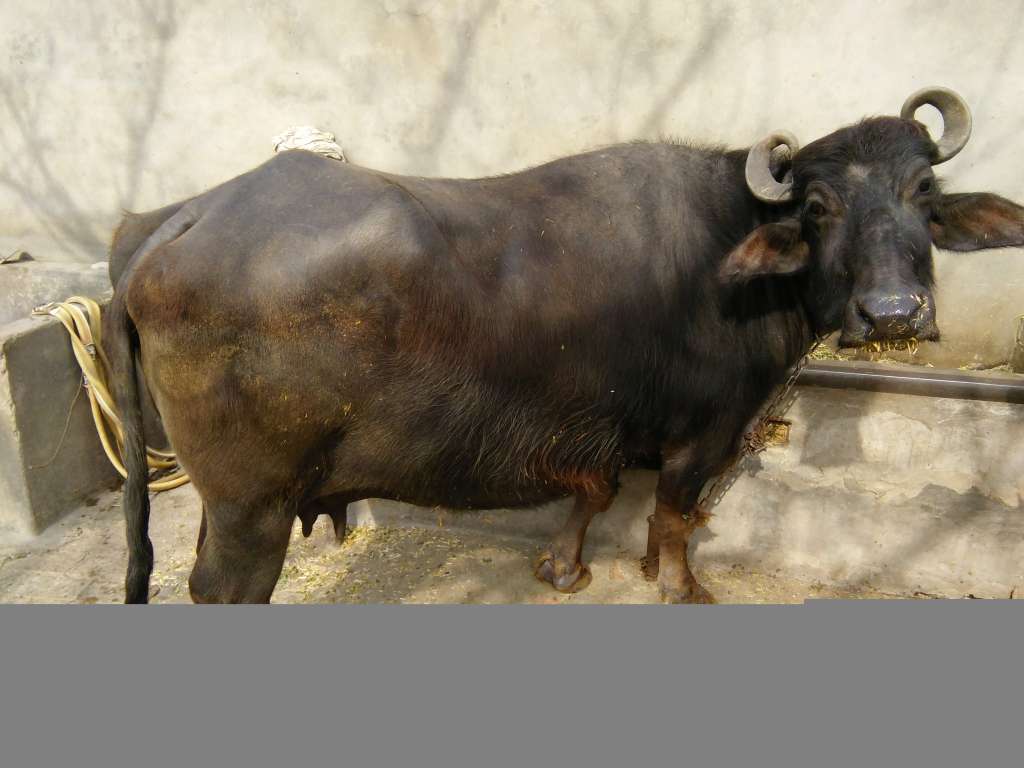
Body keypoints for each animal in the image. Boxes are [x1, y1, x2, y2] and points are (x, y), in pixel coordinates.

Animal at [106, 87, 1024, 603]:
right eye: (820, 207)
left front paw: (568, 569)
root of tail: (173, 220)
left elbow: (597, 494)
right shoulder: (703, 433)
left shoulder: (597, 428)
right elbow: (674, 513)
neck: (730, 254)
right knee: (222, 590)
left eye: (924, 192)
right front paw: (681, 587)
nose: (894, 312)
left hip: (227, 504)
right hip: (253, 508)